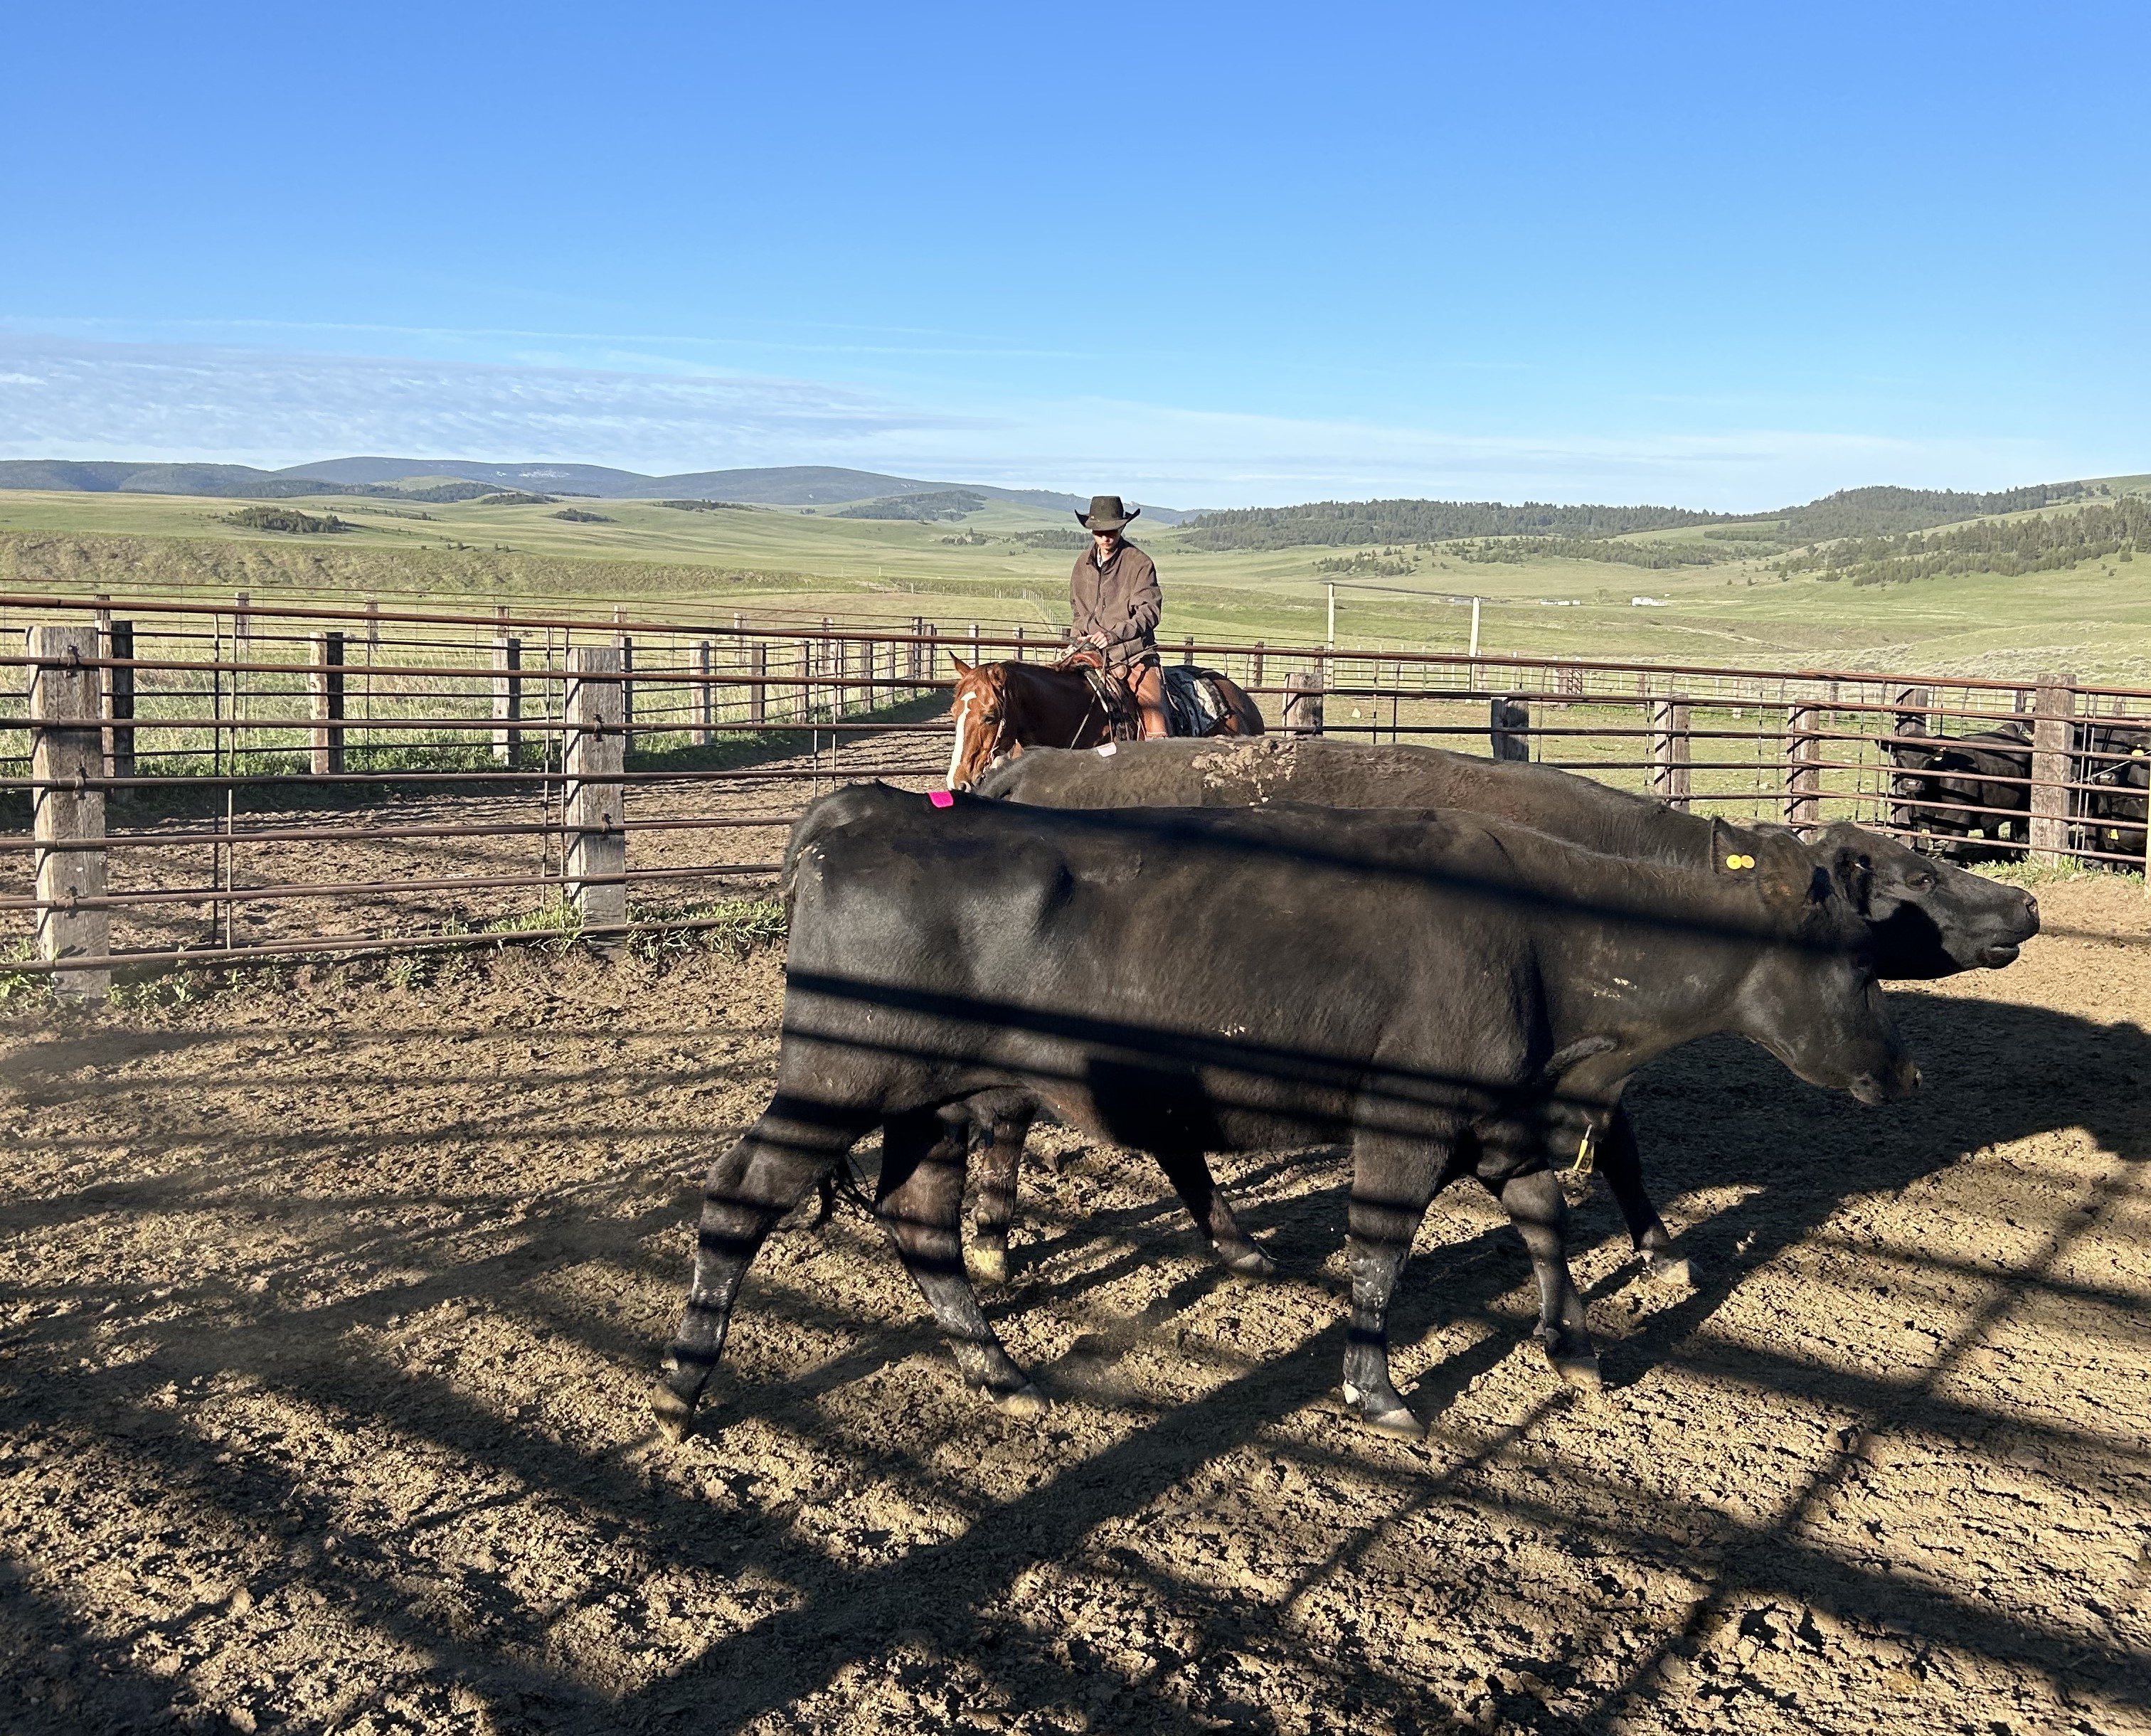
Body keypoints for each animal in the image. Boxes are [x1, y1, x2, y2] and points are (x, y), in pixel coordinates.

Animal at [654, 787, 1918, 1437]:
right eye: (1860, 960)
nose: (1904, 1077)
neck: (1543, 940)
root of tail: (856, 814)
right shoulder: (1403, 1129)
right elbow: (1380, 1256)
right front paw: (1378, 1391)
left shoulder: (1503, 1124)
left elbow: (1549, 1226)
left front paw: (1570, 1349)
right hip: (838, 1076)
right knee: (741, 1195)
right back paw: (681, 1383)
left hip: (940, 1099)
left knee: (922, 1220)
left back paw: (997, 1368)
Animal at [972, 735, 2030, 1290]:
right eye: (1917, 874)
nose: (2024, 903)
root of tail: (1032, 771)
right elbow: (1620, 1145)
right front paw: (1662, 1251)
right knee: (1011, 1119)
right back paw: (991, 1245)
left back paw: (1236, 1243)